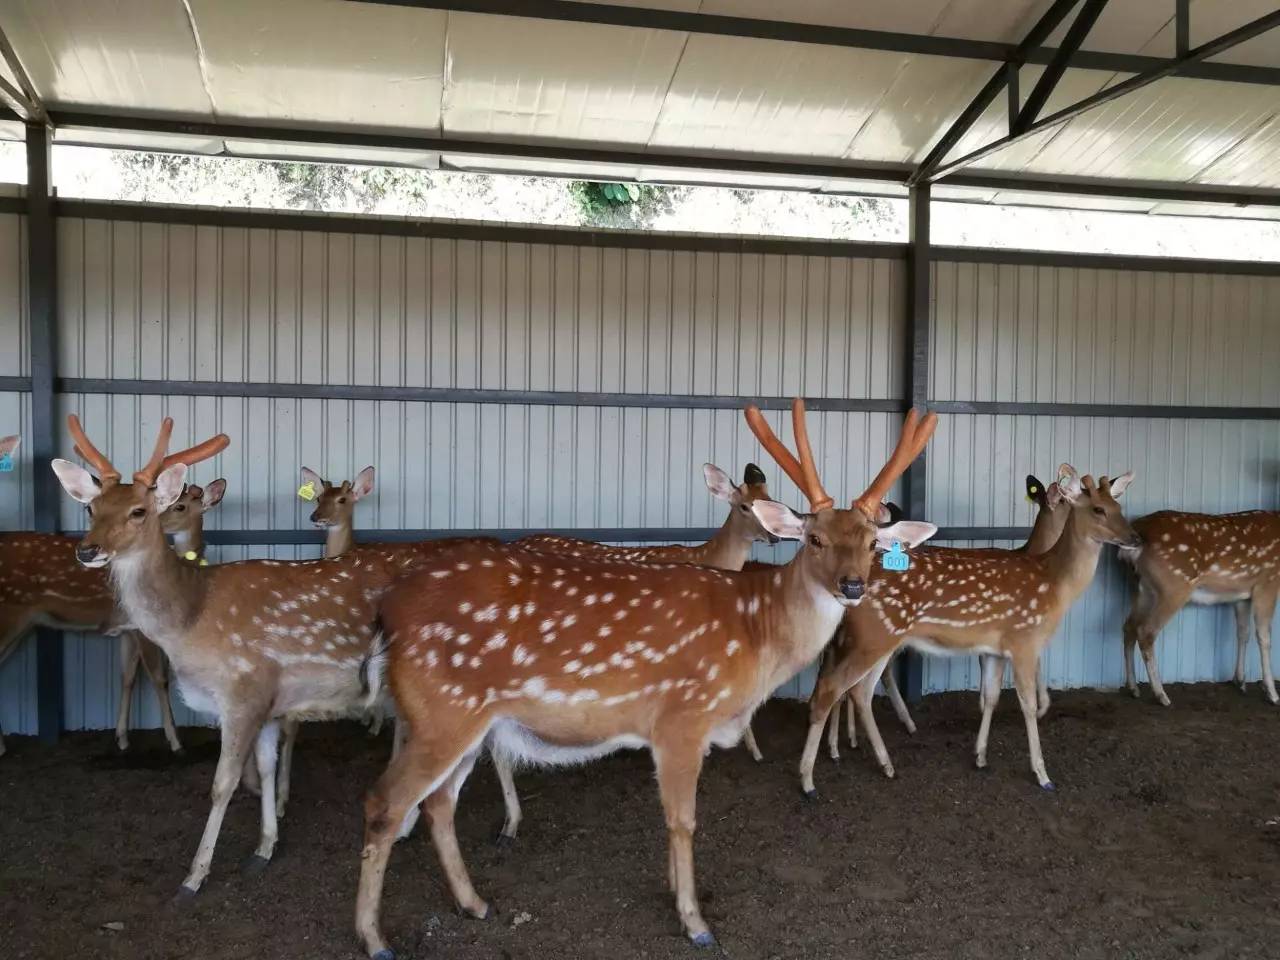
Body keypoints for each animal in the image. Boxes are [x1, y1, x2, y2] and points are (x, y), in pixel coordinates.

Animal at [355, 399, 936, 960]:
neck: (755, 635)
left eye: (871, 543)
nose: (853, 586)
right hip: (442, 711)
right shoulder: (683, 715)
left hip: (469, 724)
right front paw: (695, 923)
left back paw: (474, 903)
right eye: (813, 538)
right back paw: (375, 938)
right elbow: (683, 820)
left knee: (437, 803)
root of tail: (386, 611)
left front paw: (674, 892)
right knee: (384, 803)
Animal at [803, 468, 1136, 798]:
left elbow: (990, 696)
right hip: (873, 635)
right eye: (1098, 509)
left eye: (1119, 506)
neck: (1054, 584)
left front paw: (980, 756)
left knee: (859, 691)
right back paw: (809, 779)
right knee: (831, 688)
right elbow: (1026, 705)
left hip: (878, 638)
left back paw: (885, 764)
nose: (1134, 537)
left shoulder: (994, 649)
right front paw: (1043, 775)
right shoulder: (1024, 639)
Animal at [1121, 512, 1280, 706]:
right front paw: (1272, 693)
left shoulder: (1242, 595)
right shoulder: (1268, 582)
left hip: (1143, 588)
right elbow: (1264, 638)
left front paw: (1241, 681)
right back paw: (1161, 695)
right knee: (1146, 631)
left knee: (1129, 626)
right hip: (1174, 586)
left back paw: (1133, 688)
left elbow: (1243, 632)